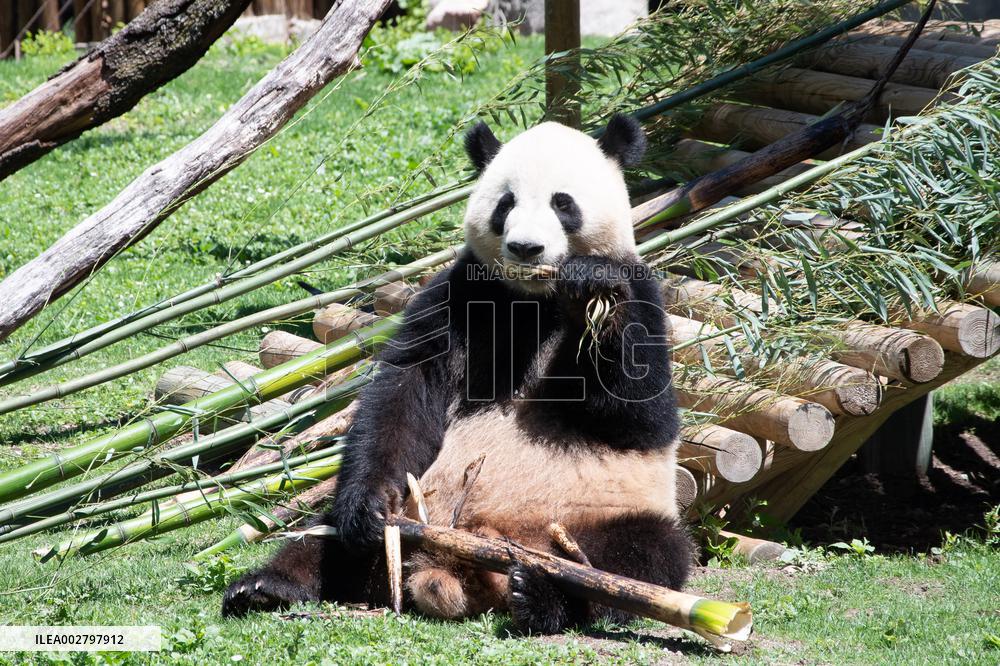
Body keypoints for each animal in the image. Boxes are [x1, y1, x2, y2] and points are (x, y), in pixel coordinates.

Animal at [222, 114, 692, 634]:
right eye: (506, 203)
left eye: (563, 203)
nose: (526, 248)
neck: (534, 298)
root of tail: (458, 569)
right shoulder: (457, 294)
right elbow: (404, 390)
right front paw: (368, 506)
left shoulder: (643, 292)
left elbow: (640, 415)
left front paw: (591, 287)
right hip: (415, 515)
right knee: (324, 539)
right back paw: (268, 585)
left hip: (603, 514)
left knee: (642, 557)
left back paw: (541, 592)